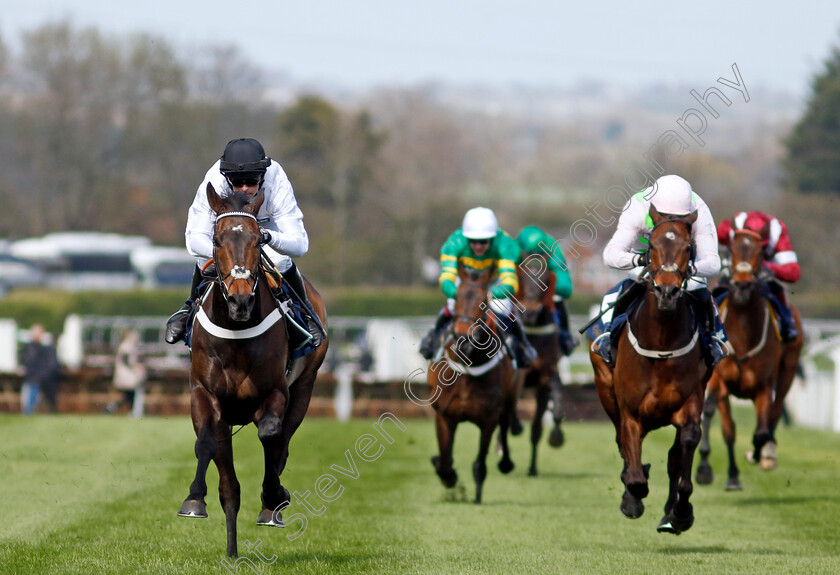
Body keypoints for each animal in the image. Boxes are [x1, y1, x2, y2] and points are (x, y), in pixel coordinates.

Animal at [176, 184, 328, 560]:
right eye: (216, 240)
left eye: (259, 239)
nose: (240, 301)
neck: (236, 333)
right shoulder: (204, 395)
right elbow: (207, 447)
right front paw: (193, 500)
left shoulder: (274, 393)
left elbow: (271, 435)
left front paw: (274, 498)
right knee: (229, 484)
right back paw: (232, 550)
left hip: (304, 387)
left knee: (283, 440)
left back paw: (272, 503)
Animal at [430, 264, 516, 504]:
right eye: (457, 296)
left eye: (483, 300)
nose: (462, 336)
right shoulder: (444, 415)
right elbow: (445, 459)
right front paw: (447, 476)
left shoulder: (489, 418)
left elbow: (480, 463)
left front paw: (476, 497)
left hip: (509, 399)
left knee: (506, 423)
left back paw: (506, 463)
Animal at [592, 207, 708, 536]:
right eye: (652, 246)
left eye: (688, 248)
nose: (667, 291)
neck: (661, 342)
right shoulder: (631, 412)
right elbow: (634, 474)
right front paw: (632, 498)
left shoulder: (690, 404)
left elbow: (686, 447)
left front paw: (680, 513)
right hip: (606, 390)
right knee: (623, 443)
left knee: (673, 456)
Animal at [696, 227, 808, 488]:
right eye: (732, 249)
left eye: (759, 253)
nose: (743, 285)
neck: (744, 336)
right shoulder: (720, 381)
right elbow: (719, 421)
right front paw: (709, 469)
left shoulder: (764, 387)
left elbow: (761, 431)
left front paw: (757, 454)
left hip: (788, 370)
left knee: (774, 414)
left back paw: (767, 455)